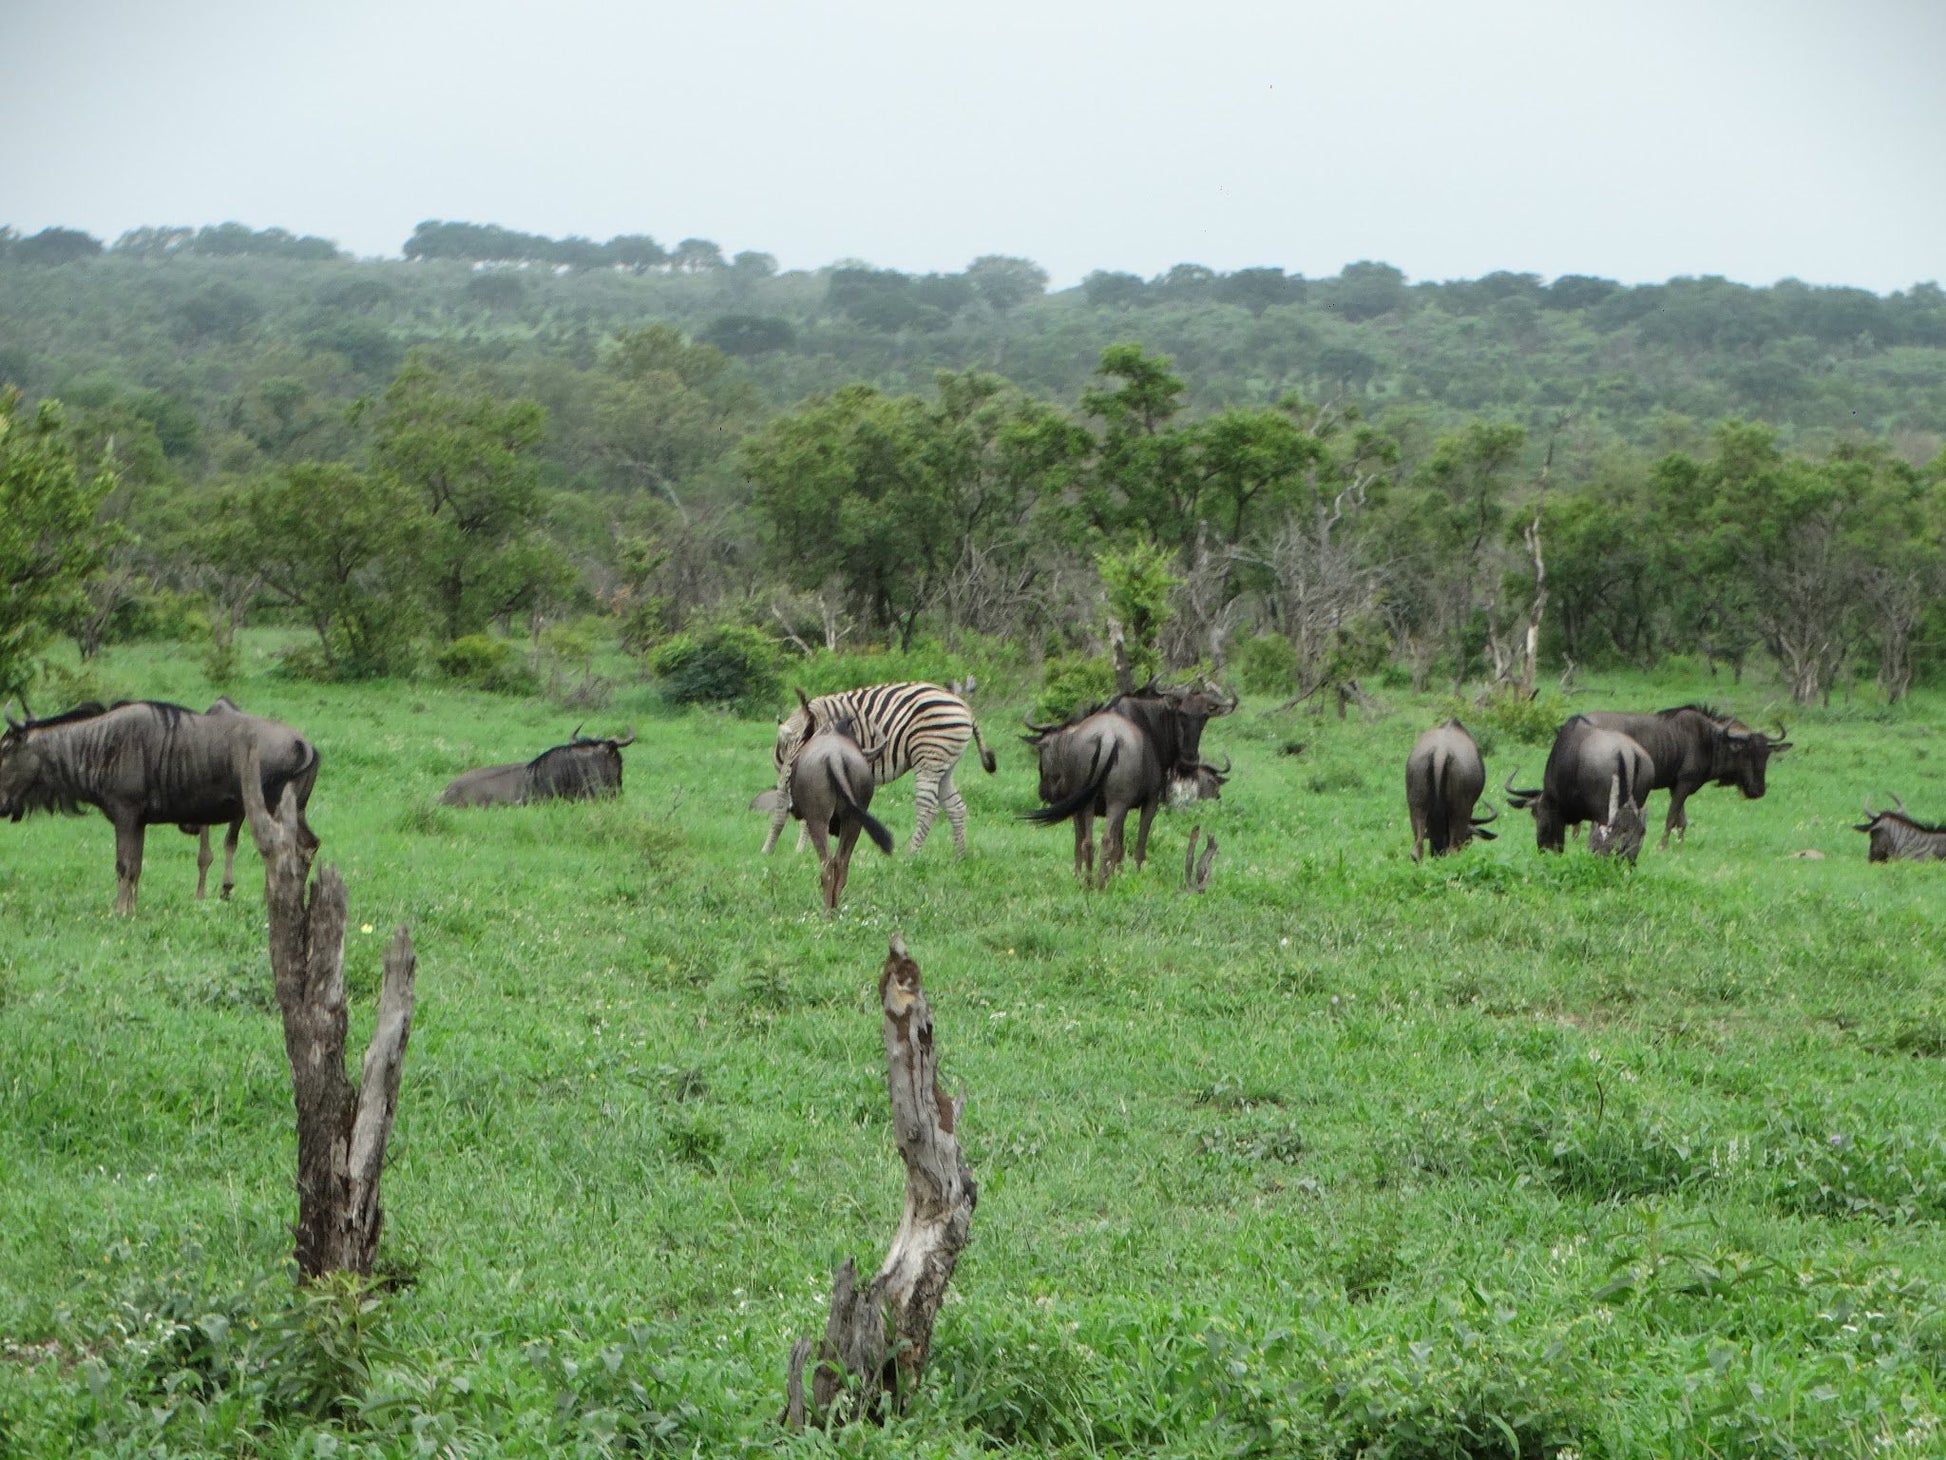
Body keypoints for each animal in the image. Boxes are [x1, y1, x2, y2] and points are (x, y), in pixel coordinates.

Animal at [758, 685, 996, 856]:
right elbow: (782, 809)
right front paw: (772, 850)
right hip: (945, 765)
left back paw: (910, 855)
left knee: (928, 809)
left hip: (930, 757)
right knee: (956, 807)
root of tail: (965, 708)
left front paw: (798, 850)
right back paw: (960, 855)